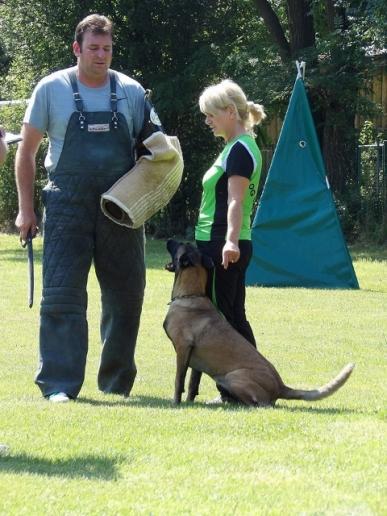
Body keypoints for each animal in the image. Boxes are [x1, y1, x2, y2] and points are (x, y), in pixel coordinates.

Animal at [162, 241, 356, 408]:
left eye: (179, 244)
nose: (169, 239)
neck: (190, 294)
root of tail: (281, 386)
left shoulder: (183, 349)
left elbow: (179, 381)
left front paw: (176, 403)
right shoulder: (196, 362)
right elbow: (192, 385)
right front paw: (188, 402)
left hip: (233, 377)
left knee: (262, 404)